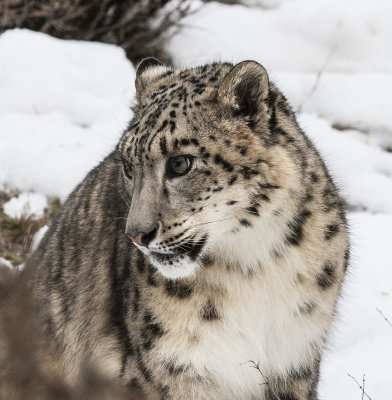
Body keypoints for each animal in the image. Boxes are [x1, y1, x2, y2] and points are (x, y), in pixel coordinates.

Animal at [29, 57, 350, 398]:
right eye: (128, 167)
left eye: (180, 163)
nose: (137, 234)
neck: (252, 266)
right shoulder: (170, 370)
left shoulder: (294, 361)